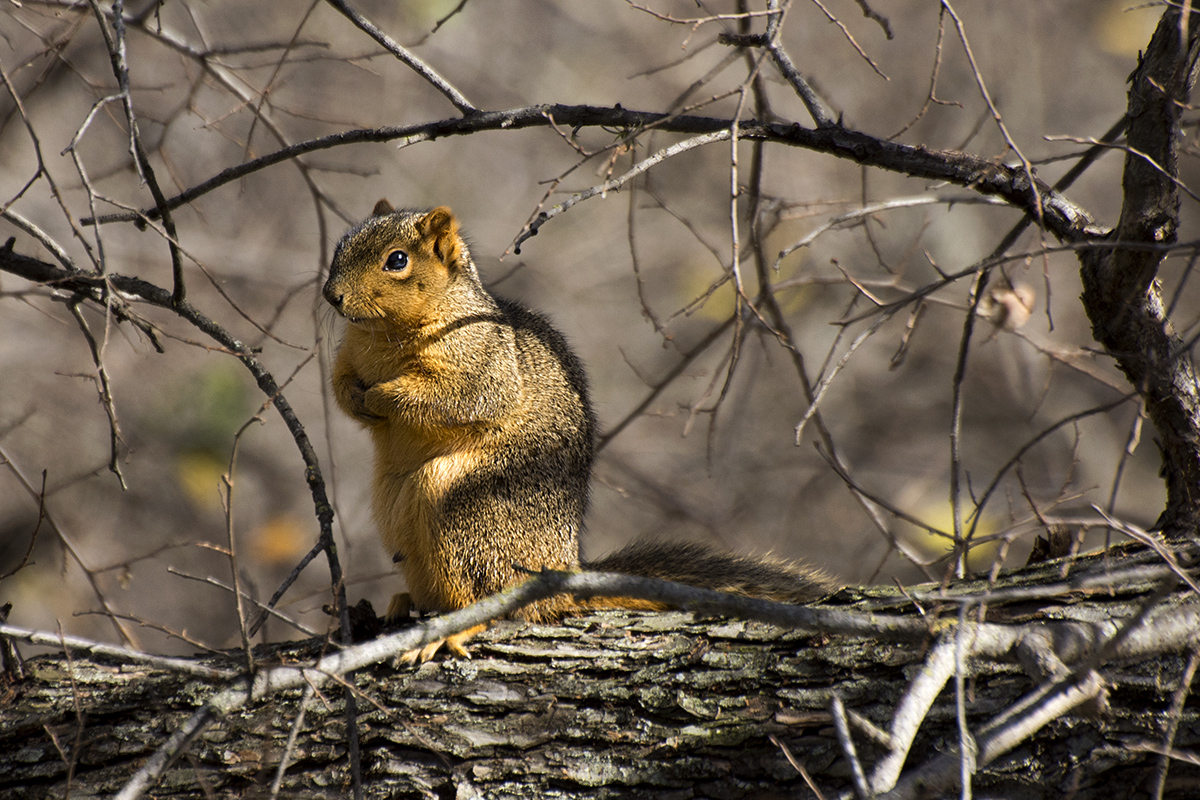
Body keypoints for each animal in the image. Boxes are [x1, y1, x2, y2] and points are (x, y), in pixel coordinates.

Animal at [324, 201, 840, 662]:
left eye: (397, 260)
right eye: (340, 246)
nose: (332, 296)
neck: (381, 335)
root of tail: (563, 574)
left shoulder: (482, 359)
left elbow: (462, 396)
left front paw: (380, 396)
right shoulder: (349, 354)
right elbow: (339, 384)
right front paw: (355, 396)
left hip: (465, 508)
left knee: (493, 602)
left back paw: (451, 628)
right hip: (393, 508)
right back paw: (405, 602)